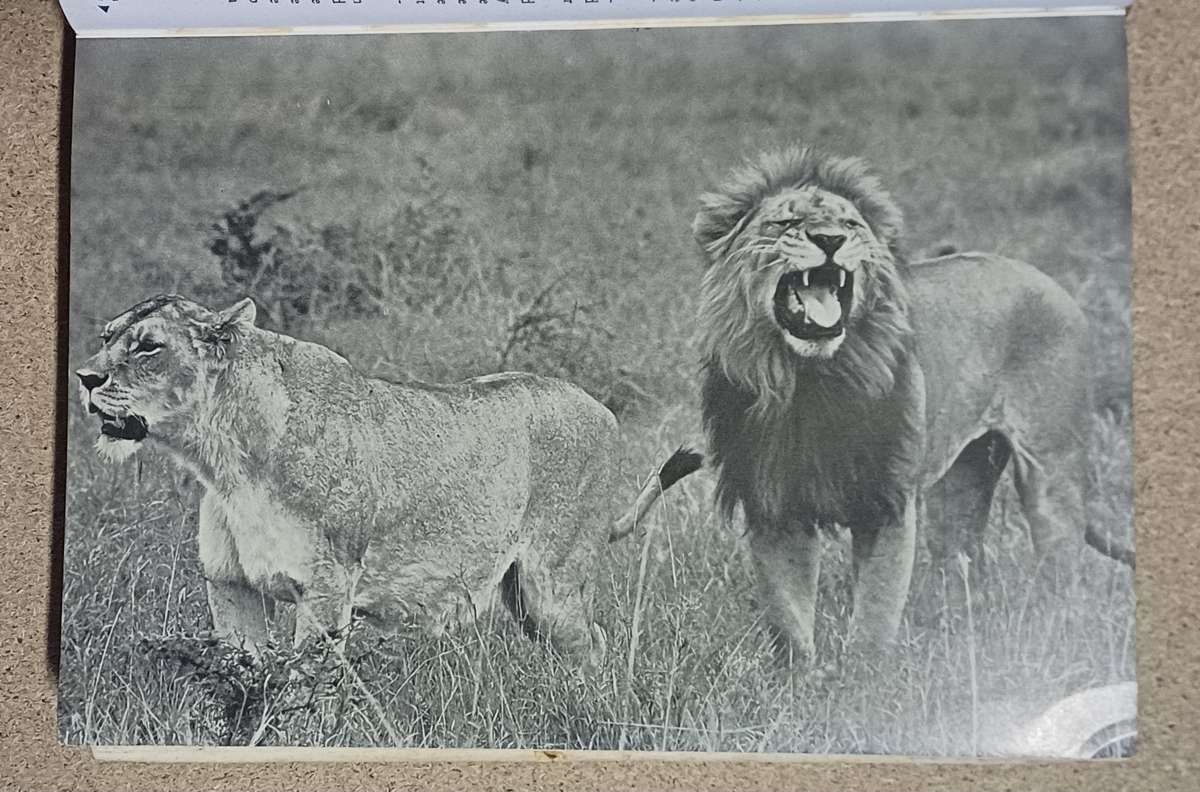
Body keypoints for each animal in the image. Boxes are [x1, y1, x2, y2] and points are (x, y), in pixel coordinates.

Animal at [75, 294, 699, 668]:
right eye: (106, 337)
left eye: (148, 346)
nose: (84, 377)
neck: (222, 458)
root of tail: (602, 408)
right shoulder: (231, 588)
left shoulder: (326, 589)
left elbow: (303, 692)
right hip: (523, 592)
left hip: (553, 583)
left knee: (591, 646)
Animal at [691, 146, 1133, 663]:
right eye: (788, 222)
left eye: (850, 224)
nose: (830, 240)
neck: (809, 381)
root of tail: (1043, 277)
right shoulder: (775, 502)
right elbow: (788, 614)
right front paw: (801, 675)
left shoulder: (887, 502)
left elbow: (876, 610)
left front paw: (864, 675)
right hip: (960, 482)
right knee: (964, 560)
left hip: (1051, 469)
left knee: (1064, 566)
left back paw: (1054, 640)